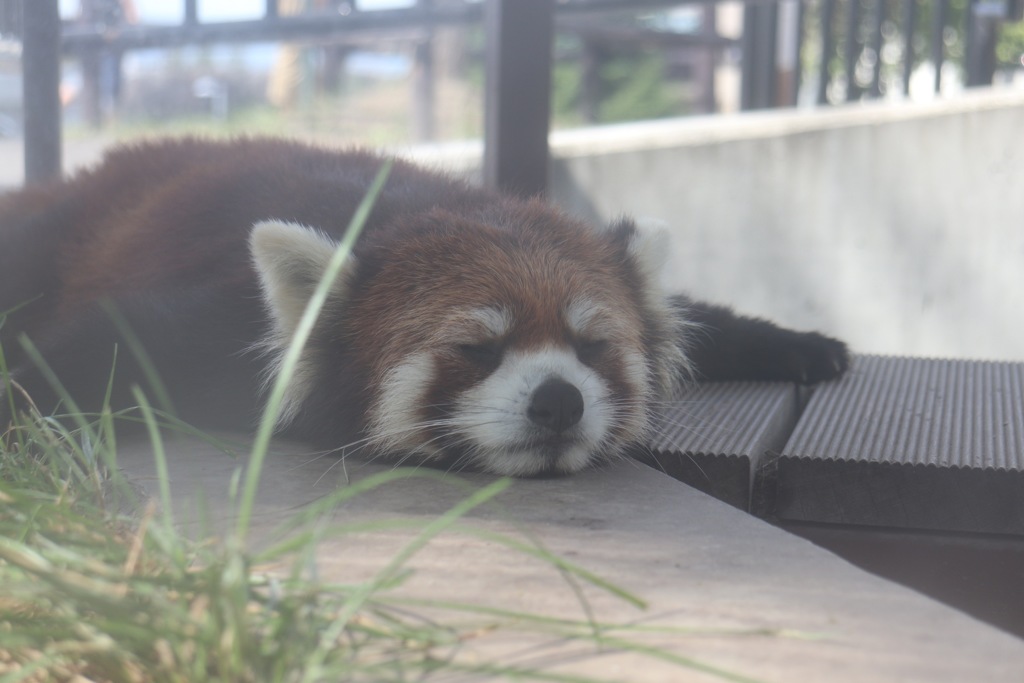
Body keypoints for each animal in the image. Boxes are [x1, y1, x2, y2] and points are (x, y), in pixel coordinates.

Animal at [0, 137, 847, 479]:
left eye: (591, 347)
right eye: (478, 349)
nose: (559, 400)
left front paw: (800, 343)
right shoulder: (217, 317)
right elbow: (88, 346)